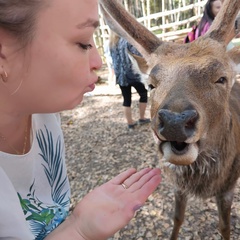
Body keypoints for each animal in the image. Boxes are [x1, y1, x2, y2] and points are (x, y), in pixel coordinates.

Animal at [99, 0, 240, 240]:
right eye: (151, 84)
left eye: (221, 78)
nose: (175, 122)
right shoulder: (177, 186)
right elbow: (178, 218)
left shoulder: (228, 188)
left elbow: (224, 227)